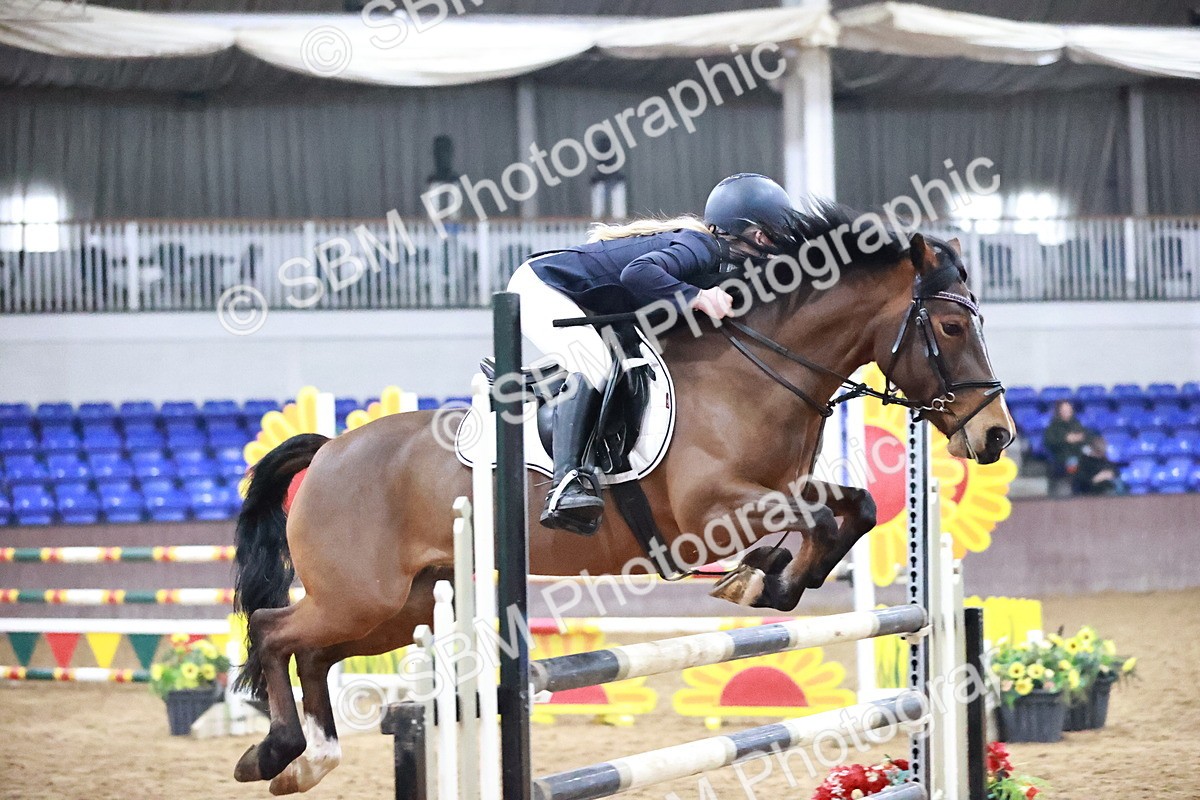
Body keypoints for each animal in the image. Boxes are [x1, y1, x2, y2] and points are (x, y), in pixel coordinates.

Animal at [230, 205, 1015, 794]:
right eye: (951, 326)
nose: (996, 435)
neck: (761, 369)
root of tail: (330, 450)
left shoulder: (778, 488)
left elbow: (854, 509)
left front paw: (765, 579)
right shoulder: (713, 511)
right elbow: (823, 517)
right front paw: (763, 580)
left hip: (403, 607)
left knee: (312, 652)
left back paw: (305, 761)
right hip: (361, 595)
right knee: (273, 630)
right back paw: (277, 752)